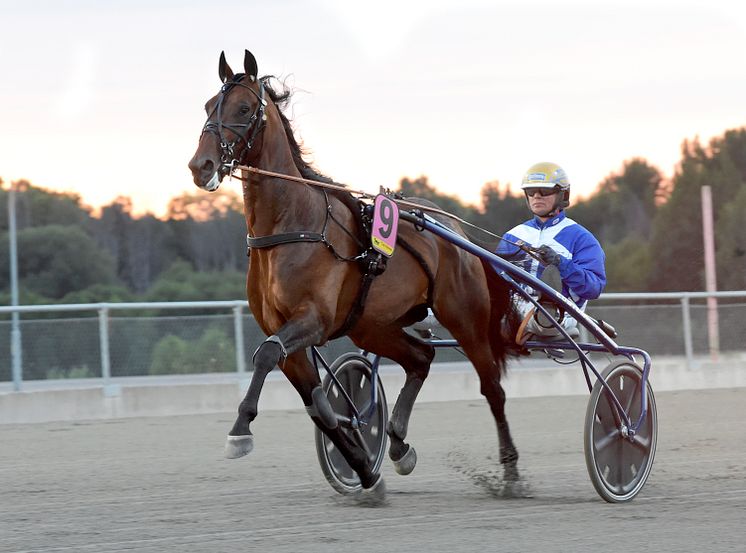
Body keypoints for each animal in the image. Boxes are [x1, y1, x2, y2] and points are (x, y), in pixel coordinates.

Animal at [186, 48, 516, 496]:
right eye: (207, 106)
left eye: (243, 108)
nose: (200, 165)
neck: (292, 223)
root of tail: (452, 227)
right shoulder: (288, 332)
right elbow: (319, 406)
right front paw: (363, 469)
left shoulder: (313, 319)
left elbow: (266, 354)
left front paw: (240, 430)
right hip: (372, 325)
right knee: (421, 358)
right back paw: (398, 445)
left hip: (464, 317)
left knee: (491, 386)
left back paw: (511, 471)